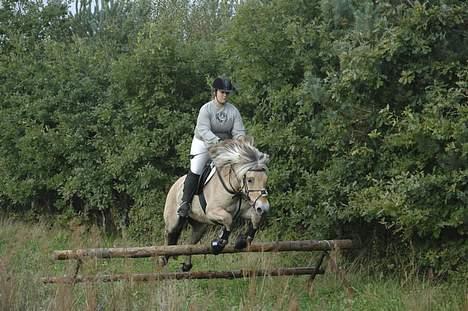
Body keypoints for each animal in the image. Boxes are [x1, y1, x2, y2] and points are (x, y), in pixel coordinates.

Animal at [162, 138, 268, 272]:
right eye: (250, 180)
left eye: (265, 180)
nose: (263, 207)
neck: (233, 189)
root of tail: (175, 184)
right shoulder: (212, 212)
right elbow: (228, 219)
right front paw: (218, 243)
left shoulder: (244, 211)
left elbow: (255, 218)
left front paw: (242, 241)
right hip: (173, 221)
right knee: (169, 234)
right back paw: (163, 258)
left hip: (200, 225)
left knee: (190, 243)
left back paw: (186, 265)